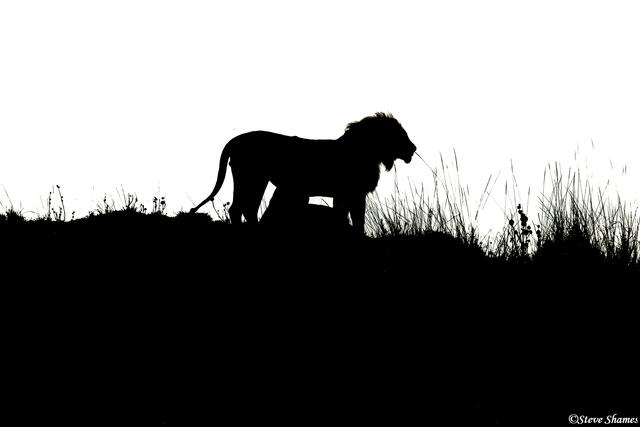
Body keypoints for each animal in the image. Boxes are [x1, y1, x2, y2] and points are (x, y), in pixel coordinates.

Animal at [190, 113, 416, 233]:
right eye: (399, 134)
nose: (413, 148)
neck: (366, 151)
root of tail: (236, 139)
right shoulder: (354, 194)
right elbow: (357, 219)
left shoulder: (343, 195)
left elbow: (343, 215)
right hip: (251, 177)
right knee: (240, 208)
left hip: (254, 179)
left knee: (245, 208)